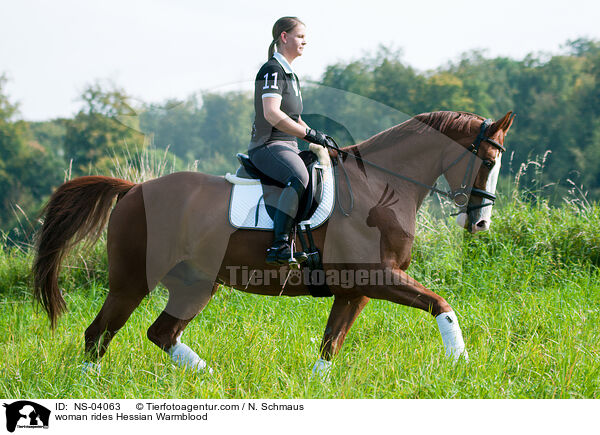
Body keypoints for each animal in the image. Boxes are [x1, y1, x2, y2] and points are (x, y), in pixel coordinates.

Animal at [32, 110, 512, 378]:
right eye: (489, 161)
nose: (481, 223)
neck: (380, 186)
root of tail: (133, 190)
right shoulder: (376, 277)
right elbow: (442, 305)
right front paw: (461, 365)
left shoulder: (353, 291)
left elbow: (330, 346)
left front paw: (317, 386)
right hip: (132, 281)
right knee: (98, 334)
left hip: (196, 284)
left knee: (161, 332)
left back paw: (210, 378)